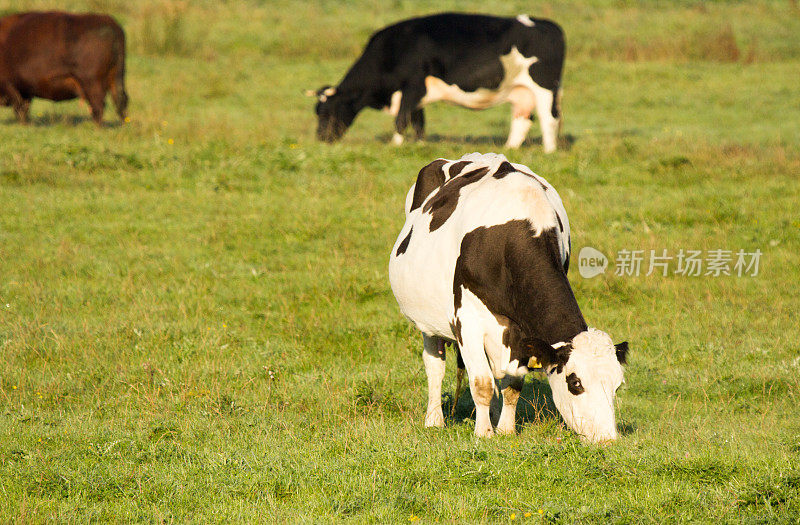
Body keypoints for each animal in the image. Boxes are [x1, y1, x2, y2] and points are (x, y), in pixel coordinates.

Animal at [306, 13, 564, 151]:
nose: (321, 138)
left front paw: (395, 145)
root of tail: (548, 23)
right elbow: (418, 122)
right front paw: (419, 146)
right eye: (317, 111)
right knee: (522, 121)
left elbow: (401, 120)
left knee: (549, 119)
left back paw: (549, 152)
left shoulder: (412, 85)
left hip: (544, 87)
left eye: (327, 111)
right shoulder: (416, 95)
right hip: (520, 91)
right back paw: (508, 150)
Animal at [390, 152, 632, 442]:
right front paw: (483, 434)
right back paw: (434, 420)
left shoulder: (522, 333)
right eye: (575, 383)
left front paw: (505, 430)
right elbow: (481, 382)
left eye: (617, 385)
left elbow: (512, 384)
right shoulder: (467, 319)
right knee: (435, 365)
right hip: (428, 320)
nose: (607, 438)